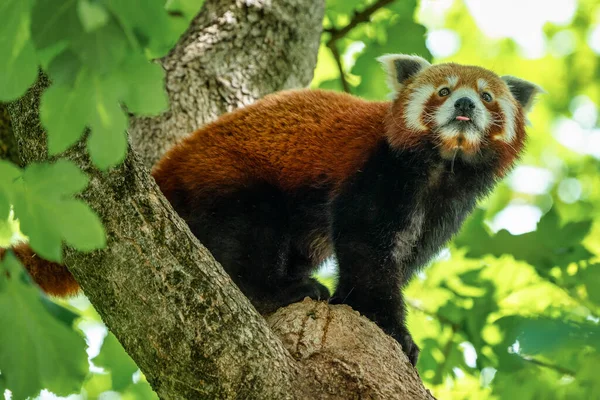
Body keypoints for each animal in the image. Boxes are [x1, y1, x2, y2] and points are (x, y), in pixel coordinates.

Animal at [0, 54, 540, 366]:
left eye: (487, 96)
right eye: (444, 91)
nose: (466, 106)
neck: (441, 165)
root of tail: (163, 172)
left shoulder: (446, 208)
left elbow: (396, 259)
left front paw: (354, 304)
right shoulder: (376, 169)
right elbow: (366, 247)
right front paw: (389, 326)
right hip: (228, 180)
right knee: (247, 237)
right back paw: (279, 290)